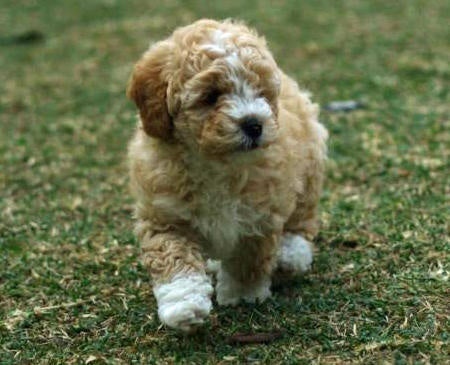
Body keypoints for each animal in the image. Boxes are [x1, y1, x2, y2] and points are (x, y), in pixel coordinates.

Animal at [126, 18, 326, 330]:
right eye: (211, 96)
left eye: (261, 92)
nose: (254, 124)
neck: (216, 165)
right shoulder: (164, 215)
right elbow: (173, 257)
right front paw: (184, 305)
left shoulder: (259, 215)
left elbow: (248, 261)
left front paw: (242, 296)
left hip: (310, 166)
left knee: (302, 217)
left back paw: (291, 254)